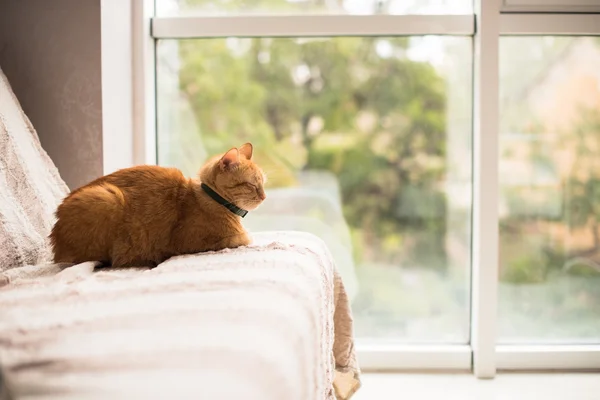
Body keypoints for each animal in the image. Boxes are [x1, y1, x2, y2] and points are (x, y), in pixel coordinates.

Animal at [50, 142, 266, 268]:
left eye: (263, 182)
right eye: (252, 185)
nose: (264, 197)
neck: (212, 198)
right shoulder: (200, 242)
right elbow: (245, 238)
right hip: (108, 197)